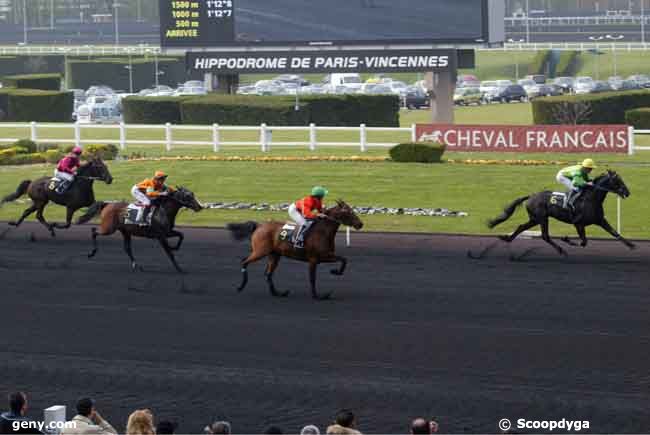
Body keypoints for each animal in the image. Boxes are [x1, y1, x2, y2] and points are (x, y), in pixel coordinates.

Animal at [225, 200, 362, 300]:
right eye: (348, 212)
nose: (360, 224)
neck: (322, 231)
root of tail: (259, 225)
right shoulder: (314, 259)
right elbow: (312, 278)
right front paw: (317, 296)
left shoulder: (325, 256)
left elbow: (344, 259)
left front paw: (335, 271)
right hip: (260, 251)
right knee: (244, 262)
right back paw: (241, 287)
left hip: (274, 255)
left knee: (268, 273)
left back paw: (278, 293)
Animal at [486, 172, 632, 258]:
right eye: (618, 181)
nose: (627, 192)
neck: (591, 199)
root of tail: (531, 196)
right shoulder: (578, 223)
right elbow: (584, 241)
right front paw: (566, 239)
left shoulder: (600, 220)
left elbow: (614, 233)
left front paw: (631, 245)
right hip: (542, 218)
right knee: (545, 236)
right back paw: (561, 250)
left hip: (535, 219)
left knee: (522, 227)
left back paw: (507, 239)